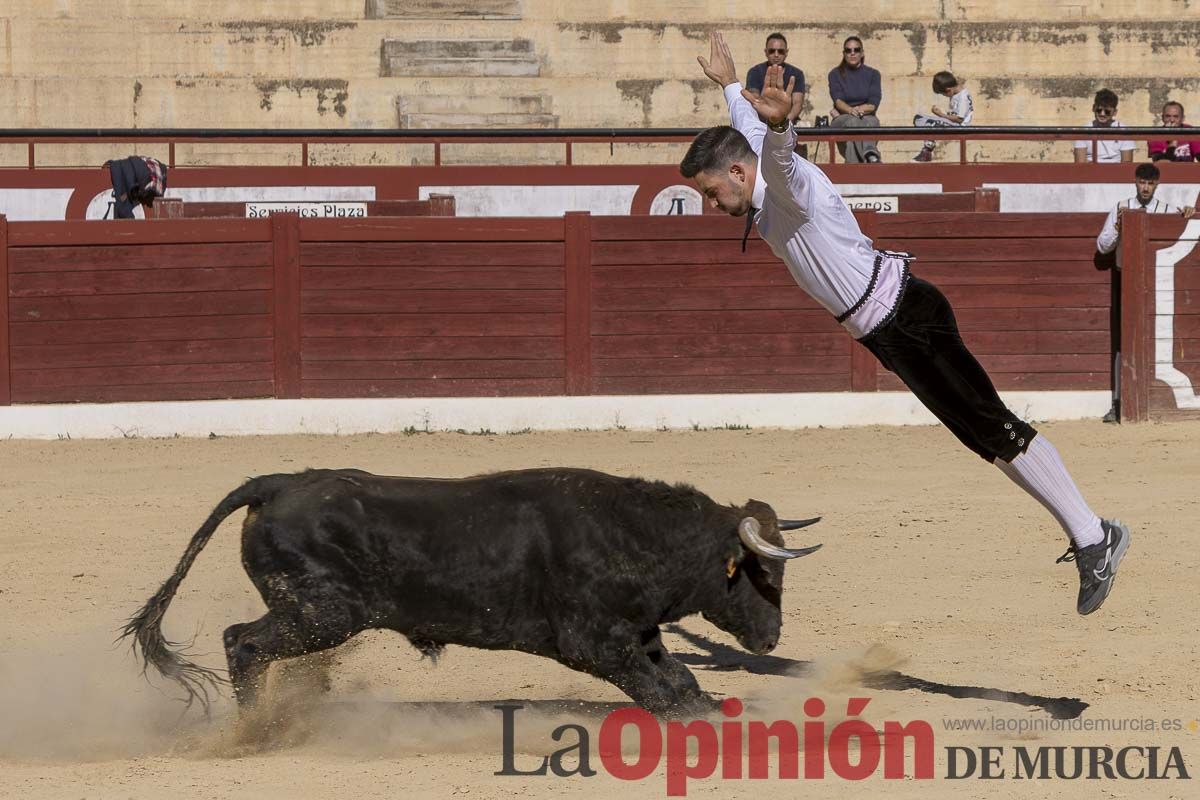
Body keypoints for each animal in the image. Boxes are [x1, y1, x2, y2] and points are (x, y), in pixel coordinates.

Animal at [121, 465, 820, 714]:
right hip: (321, 615)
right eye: (765, 573)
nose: (771, 640)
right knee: (242, 643)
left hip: (315, 617)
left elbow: (677, 674)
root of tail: (278, 483)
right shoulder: (590, 641)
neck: (632, 533)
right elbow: (656, 687)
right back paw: (255, 728)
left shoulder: (637, 630)